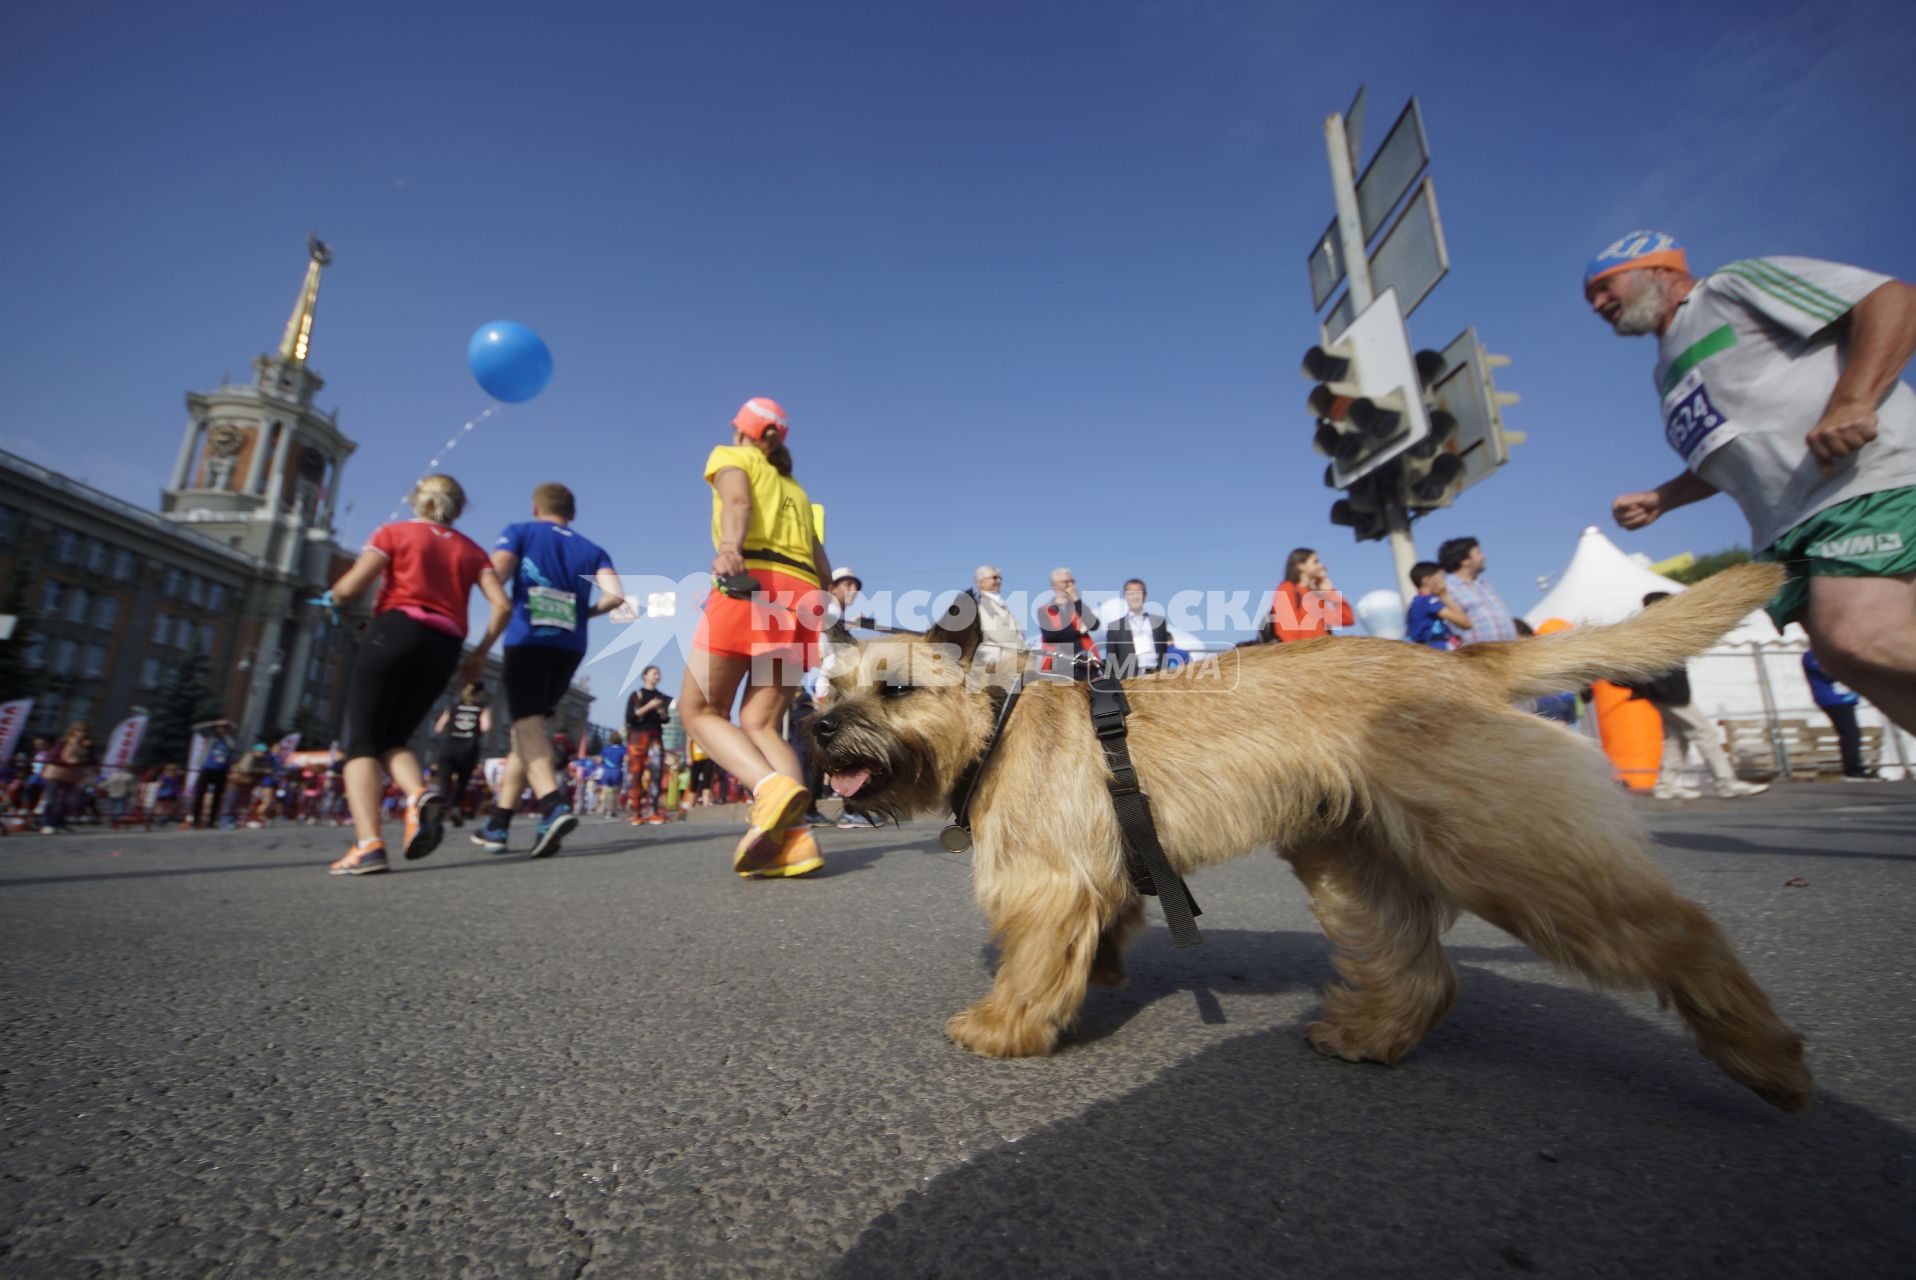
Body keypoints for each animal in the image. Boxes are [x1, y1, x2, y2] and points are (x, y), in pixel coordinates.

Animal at [816, 563, 1816, 1111]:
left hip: (1503, 842)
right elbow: (1098, 934)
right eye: (827, 688)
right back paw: (1371, 1034)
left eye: (894, 691)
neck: (997, 725)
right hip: (1350, 861)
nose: (821, 730)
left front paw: (1004, 1025)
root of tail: (1466, 663)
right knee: (1422, 970)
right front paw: (1097, 974)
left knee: (1676, 928)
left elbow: (1031, 964)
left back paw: (1761, 1052)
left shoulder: (1044, 885)